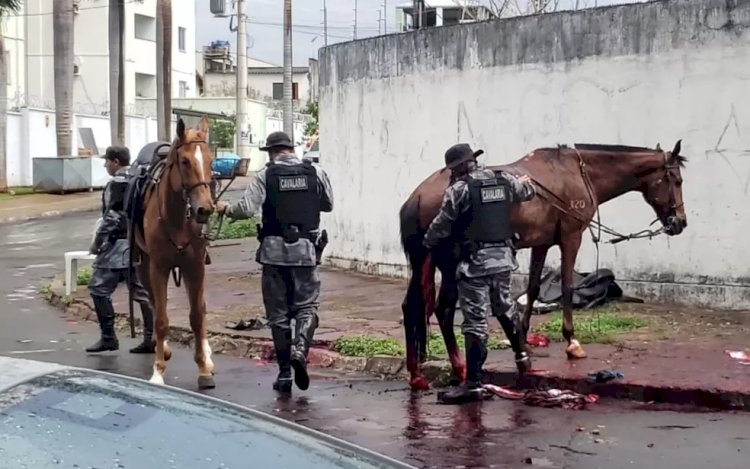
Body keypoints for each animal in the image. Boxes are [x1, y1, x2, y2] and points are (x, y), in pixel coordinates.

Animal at [133, 116, 217, 388]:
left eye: (211, 161)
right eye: (185, 161)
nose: (204, 209)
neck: (178, 217)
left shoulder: (195, 267)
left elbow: (197, 316)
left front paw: (203, 367)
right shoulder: (157, 267)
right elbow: (161, 319)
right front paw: (158, 371)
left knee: (201, 307)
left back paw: (207, 356)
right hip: (143, 266)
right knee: (153, 302)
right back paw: (164, 348)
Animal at [402, 141, 692, 390]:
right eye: (677, 180)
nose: (680, 223)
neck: (578, 173)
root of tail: (419, 196)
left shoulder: (541, 243)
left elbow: (532, 289)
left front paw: (523, 341)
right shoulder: (571, 238)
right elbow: (566, 287)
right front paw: (572, 342)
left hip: (423, 261)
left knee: (412, 307)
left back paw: (417, 375)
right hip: (449, 264)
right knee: (444, 309)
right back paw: (460, 368)